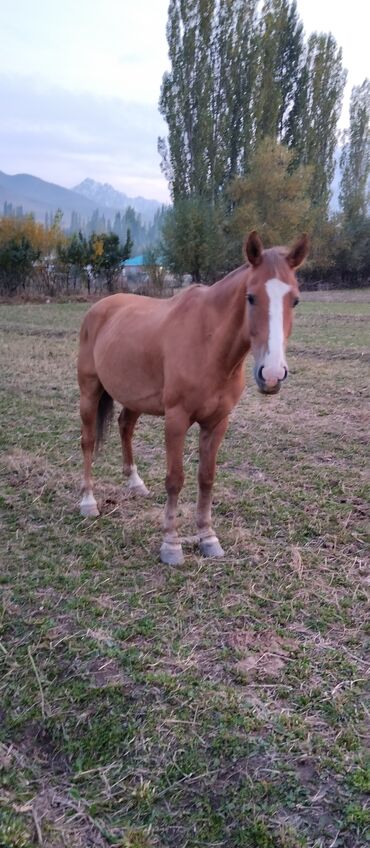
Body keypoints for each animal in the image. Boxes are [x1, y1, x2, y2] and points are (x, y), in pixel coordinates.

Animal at [76, 230, 308, 564]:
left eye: (295, 300)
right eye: (251, 297)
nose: (272, 374)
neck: (208, 342)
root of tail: (100, 308)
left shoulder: (217, 422)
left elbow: (206, 478)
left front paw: (208, 538)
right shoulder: (176, 419)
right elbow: (175, 479)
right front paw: (171, 544)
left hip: (134, 397)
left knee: (125, 426)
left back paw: (135, 483)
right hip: (89, 391)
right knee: (88, 441)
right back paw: (88, 502)